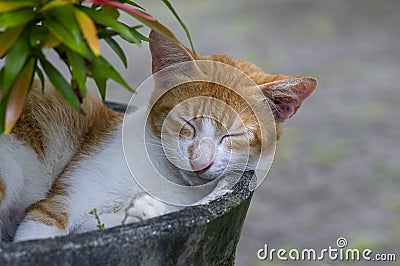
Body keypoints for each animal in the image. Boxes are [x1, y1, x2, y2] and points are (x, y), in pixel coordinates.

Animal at [0, 30, 318, 242]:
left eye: (233, 134)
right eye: (186, 122)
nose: (199, 161)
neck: (166, 179)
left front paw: (145, 210)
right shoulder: (62, 204)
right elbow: (39, 233)